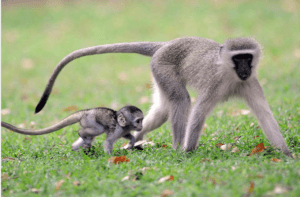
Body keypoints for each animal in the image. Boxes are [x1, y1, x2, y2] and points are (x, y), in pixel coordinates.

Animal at [1, 105, 144, 155]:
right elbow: (109, 141)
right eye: (138, 121)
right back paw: (82, 135)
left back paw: (77, 148)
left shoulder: (123, 129)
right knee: (97, 130)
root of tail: (85, 112)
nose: (141, 126)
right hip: (89, 120)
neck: (122, 123)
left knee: (90, 136)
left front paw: (131, 142)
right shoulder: (117, 129)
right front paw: (110, 157)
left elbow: (129, 135)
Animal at [34, 37, 290, 156]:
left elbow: (265, 116)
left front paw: (286, 154)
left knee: (162, 110)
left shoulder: (252, 84)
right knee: (181, 101)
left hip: (158, 74)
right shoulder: (214, 83)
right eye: (238, 58)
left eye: (248, 57)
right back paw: (176, 147)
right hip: (162, 68)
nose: (245, 68)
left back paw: (134, 139)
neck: (232, 75)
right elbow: (198, 113)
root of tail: (165, 44)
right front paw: (188, 152)